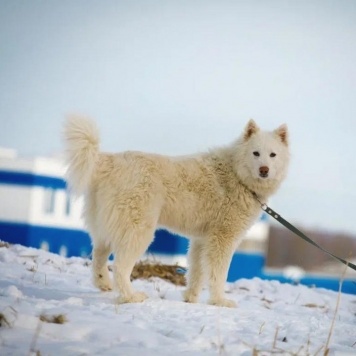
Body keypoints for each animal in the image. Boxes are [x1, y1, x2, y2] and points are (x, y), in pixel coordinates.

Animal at [63, 116, 290, 306]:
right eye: (256, 153)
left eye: (273, 155)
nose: (264, 170)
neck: (237, 175)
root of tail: (108, 161)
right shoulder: (222, 239)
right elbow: (219, 274)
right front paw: (220, 301)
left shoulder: (201, 240)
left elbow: (197, 273)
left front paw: (191, 298)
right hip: (139, 231)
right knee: (120, 266)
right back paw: (131, 296)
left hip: (108, 227)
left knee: (98, 257)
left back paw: (104, 284)